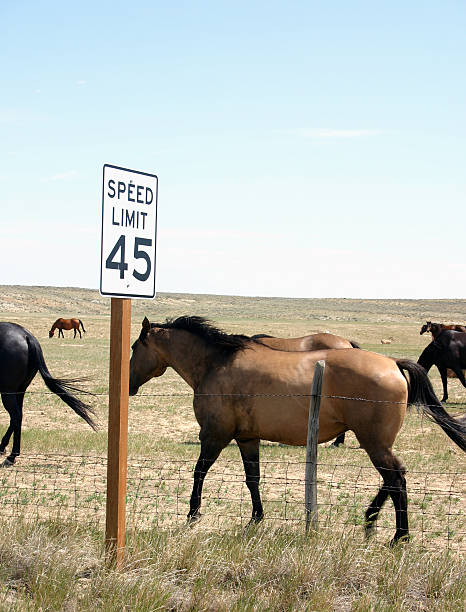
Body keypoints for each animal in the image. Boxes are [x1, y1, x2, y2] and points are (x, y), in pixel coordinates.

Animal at [0, 320, 96, 464]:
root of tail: (27, 336)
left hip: (9, 392)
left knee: (16, 416)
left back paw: (12, 456)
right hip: (19, 390)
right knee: (18, 416)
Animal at [128, 316, 466, 544]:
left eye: (133, 347)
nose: (128, 385)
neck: (216, 364)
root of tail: (393, 362)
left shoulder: (214, 435)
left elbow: (199, 472)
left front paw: (192, 514)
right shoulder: (247, 438)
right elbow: (252, 479)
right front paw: (255, 519)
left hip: (374, 442)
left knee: (396, 479)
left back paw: (398, 536)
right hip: (376, 442)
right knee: (394, 478)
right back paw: (371, 522)